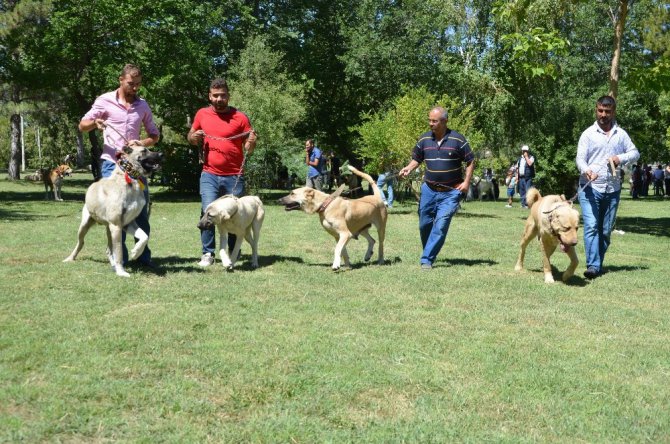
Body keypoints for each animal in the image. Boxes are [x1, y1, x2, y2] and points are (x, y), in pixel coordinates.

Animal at [63, 146, 164, 278]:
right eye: (144, 151)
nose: (162, 154)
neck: (129, 178)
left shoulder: (128, 223)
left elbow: (144, 236)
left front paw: (136, 252)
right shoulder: (117, 226)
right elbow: (119, 251)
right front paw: (121, 271)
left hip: (108, 229)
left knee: (108, 249)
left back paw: (113, 264)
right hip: (85, 225)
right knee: (81, 243)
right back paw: (70, 258)